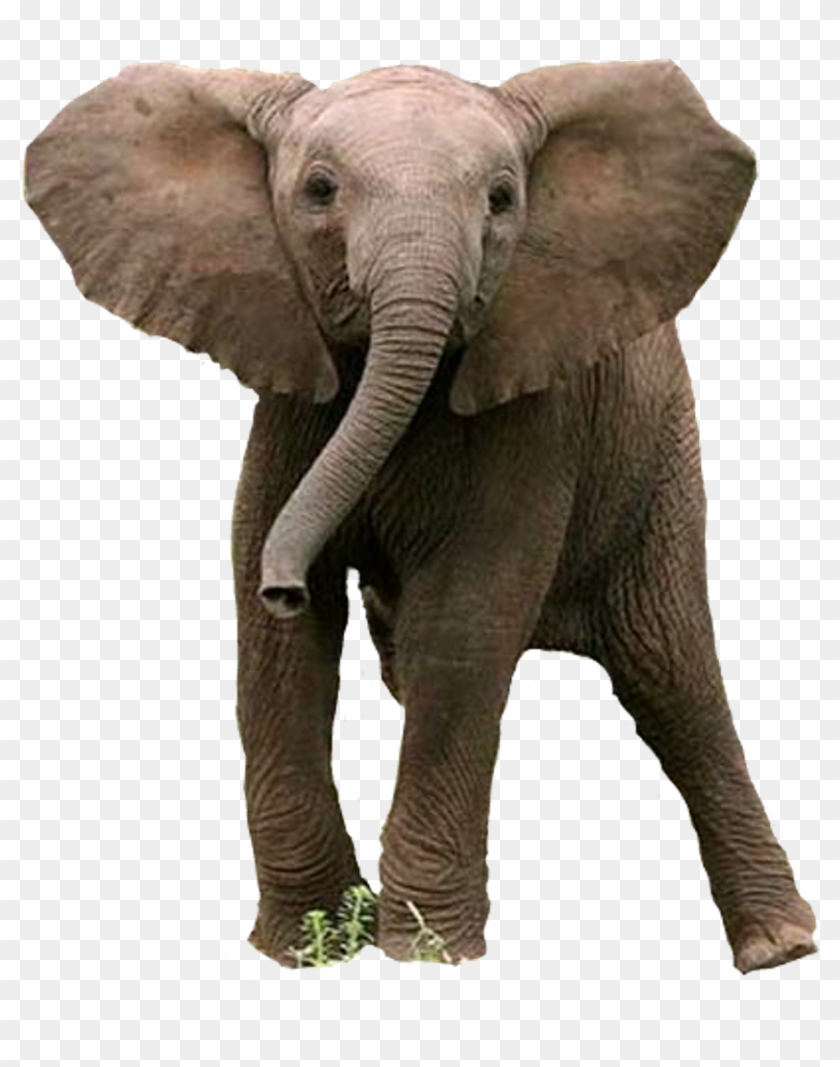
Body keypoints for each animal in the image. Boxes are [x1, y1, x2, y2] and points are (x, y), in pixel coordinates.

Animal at [24, 59, 817, 973]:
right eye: (319, 190)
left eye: (502, 199)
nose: (282, 585)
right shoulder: (292, 403)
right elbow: (284, 648)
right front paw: (310, 947)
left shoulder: (535, 413)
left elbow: (463, 623)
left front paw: (426, 956)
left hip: (658, 457)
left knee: (673, 674)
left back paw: (779, 949)